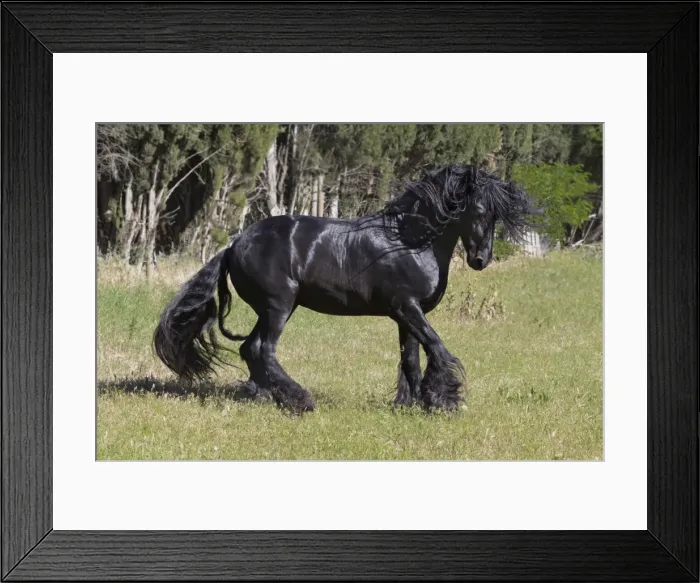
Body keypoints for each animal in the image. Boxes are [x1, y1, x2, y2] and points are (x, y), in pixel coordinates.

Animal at [153, 163, 539, 413]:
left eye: (496, 215)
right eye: (478, 209)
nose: (481, 259)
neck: (409, 241)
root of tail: (235, 245)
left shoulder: (406, 314)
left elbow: (411, 359)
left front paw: (410, 404)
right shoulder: (407, 308)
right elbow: (437, 349)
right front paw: (445, 400)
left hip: (274, 309)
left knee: (250, 350)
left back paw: (267, 396)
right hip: (279, 307)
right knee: (262, 349)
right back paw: (300, 400)